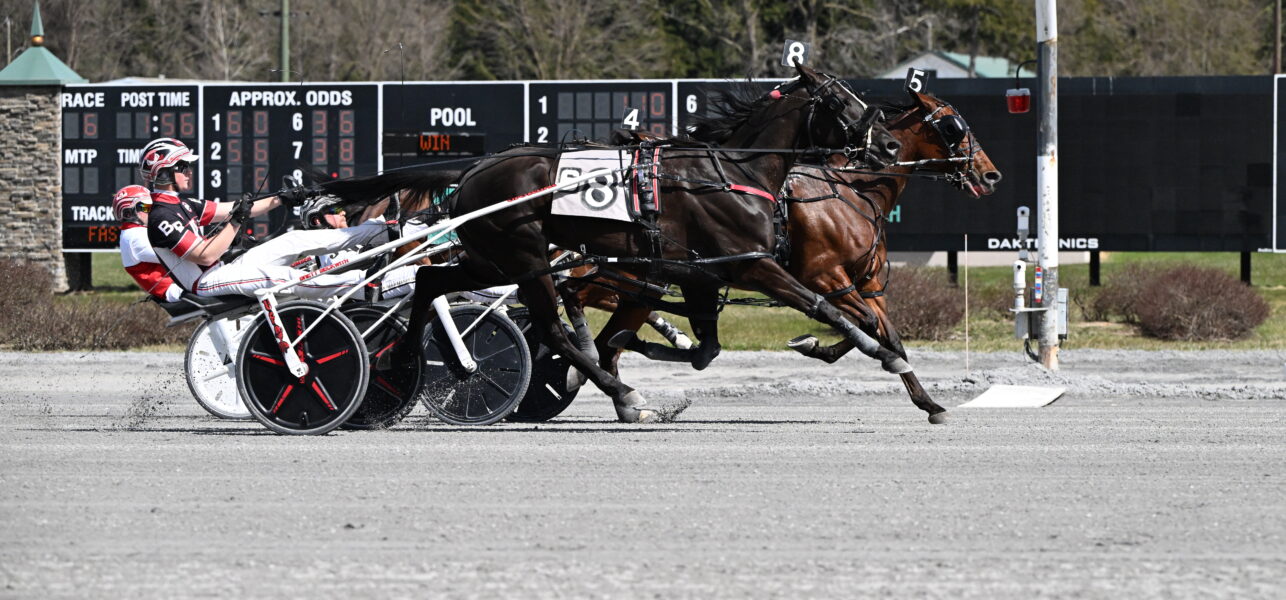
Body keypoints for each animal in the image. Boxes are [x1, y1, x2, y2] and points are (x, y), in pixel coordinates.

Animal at [321, 63, 904, 423]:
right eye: (841, 101)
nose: (891, 144)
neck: (733, 174)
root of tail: (474, 168)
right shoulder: (752, 264)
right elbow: (822, 304)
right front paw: (882, 351)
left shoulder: (703, 270)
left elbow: (701, 346)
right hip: (524, 257)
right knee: (552, 331)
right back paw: (625, 394)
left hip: (492, 258)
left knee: (429, 278)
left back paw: (406, 361)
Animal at [582, 89, 1001, 424]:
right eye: (954, 126)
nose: (990, 174)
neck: (849, 190)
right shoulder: (825, 277)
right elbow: (861, 324)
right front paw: (814, 343)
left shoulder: (866, 284)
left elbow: (887, 335)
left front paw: (929, 403)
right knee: (605, 339)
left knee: (611, 344)